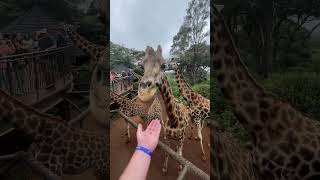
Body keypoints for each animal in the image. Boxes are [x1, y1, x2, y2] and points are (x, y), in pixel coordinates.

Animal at [138, 45, 190, 174]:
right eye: (141, 66)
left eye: (163, 66)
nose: (144, 93)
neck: (174, 120)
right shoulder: (167, 139)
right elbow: (167, 153)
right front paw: (165, 168)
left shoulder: (181, 138)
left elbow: (179, 155)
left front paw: (180, 167)